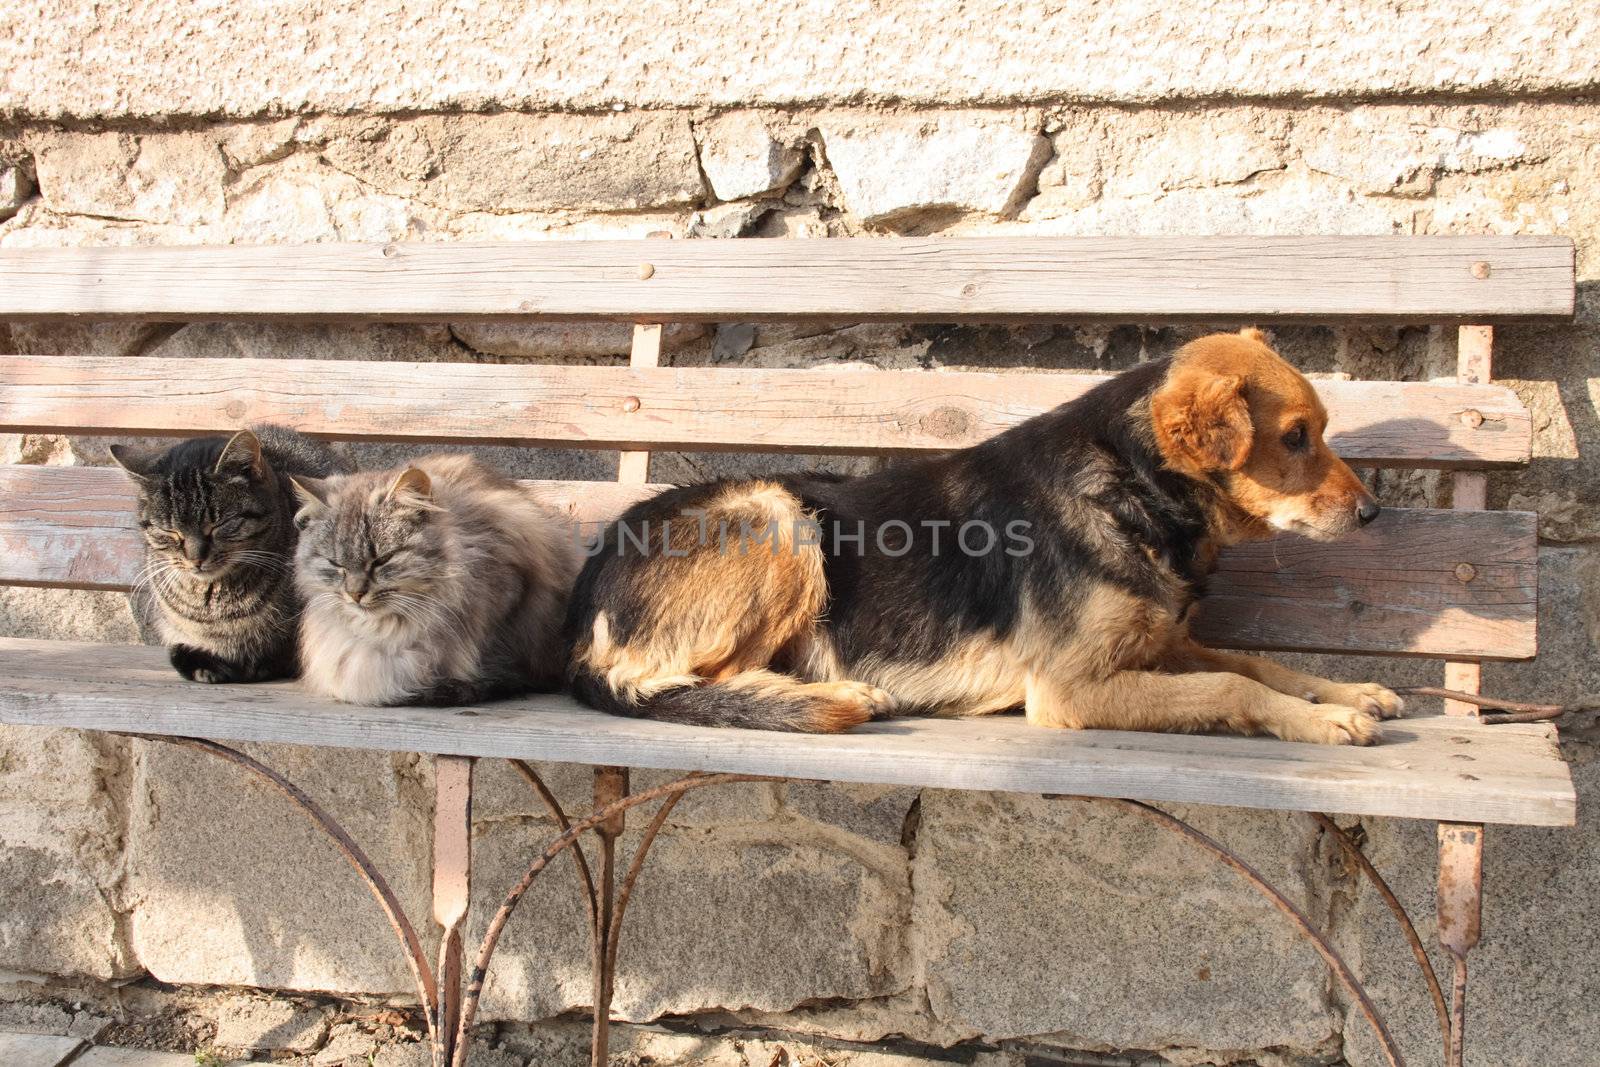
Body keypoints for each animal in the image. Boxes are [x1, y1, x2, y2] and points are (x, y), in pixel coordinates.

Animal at [563, 331, 1401, 742]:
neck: (1132, 485)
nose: (1373, 515)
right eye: (1296, 437)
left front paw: (1344, 689)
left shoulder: (1158, 645)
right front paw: (1322, 720)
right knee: (680, 680)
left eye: (1319, 430)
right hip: (777, 517)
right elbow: (1232, 684)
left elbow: (1257, 663)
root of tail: (582, 608)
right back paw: (833, 694)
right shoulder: (1069, 688)